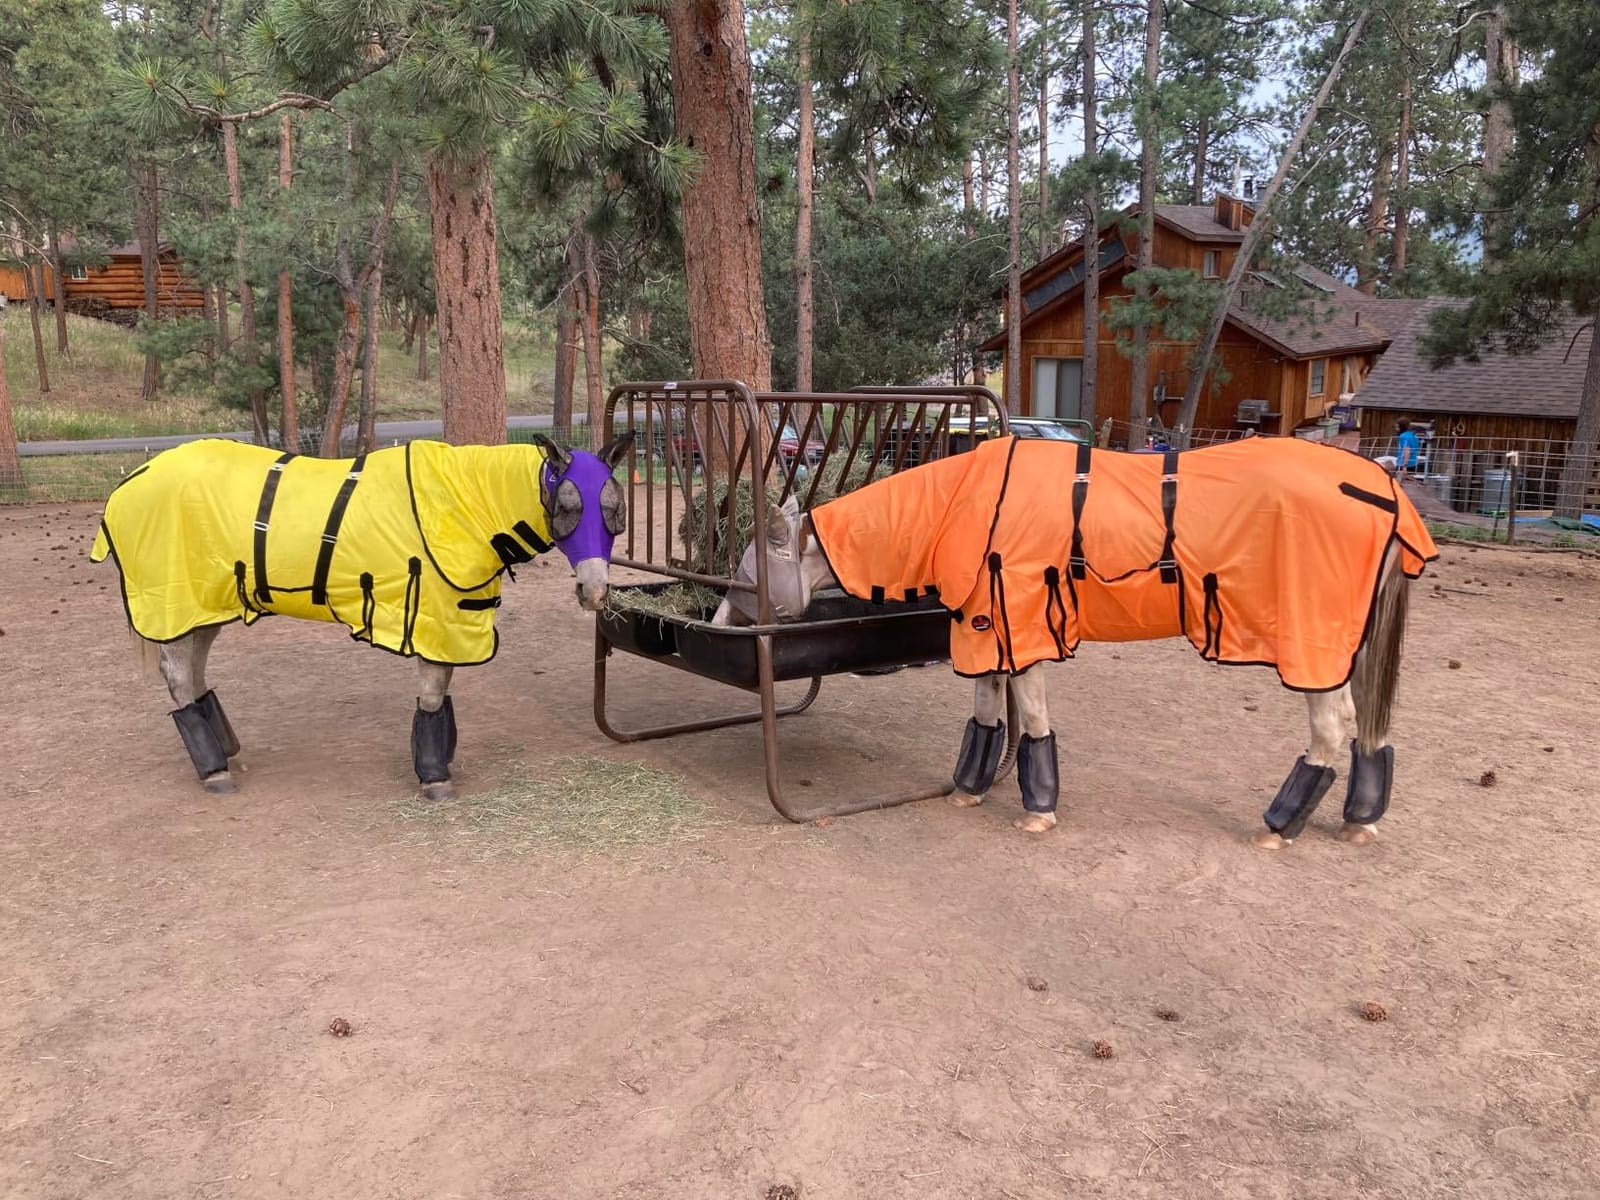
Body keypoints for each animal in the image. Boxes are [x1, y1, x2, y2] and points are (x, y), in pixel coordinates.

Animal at [91, 432, 634, 800]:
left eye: (616, 510)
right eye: (567, 507)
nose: (594, 590)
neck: (460, 504)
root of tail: (130, 482)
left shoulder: (451, 620)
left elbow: (443, 689)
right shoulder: (432, 614)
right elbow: (433, 691)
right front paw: (434, 776)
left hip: (208, 603)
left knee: (194, 669)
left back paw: (225, 751)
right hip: (175, 600)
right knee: (179, 673)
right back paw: (214, 770)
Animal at [714, 434, 1437, 848]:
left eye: (747, 577)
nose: (717, 627)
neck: (967, 502)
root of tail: (1381, 486)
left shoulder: (1023, 622)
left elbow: (1029, 713)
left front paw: (1038, 809)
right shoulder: (988, 627)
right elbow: (987, 710)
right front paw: (971, 787)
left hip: (1313, 644)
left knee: (1332, 726)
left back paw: (1281, 825)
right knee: (1368, 727)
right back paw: (1358, 819)